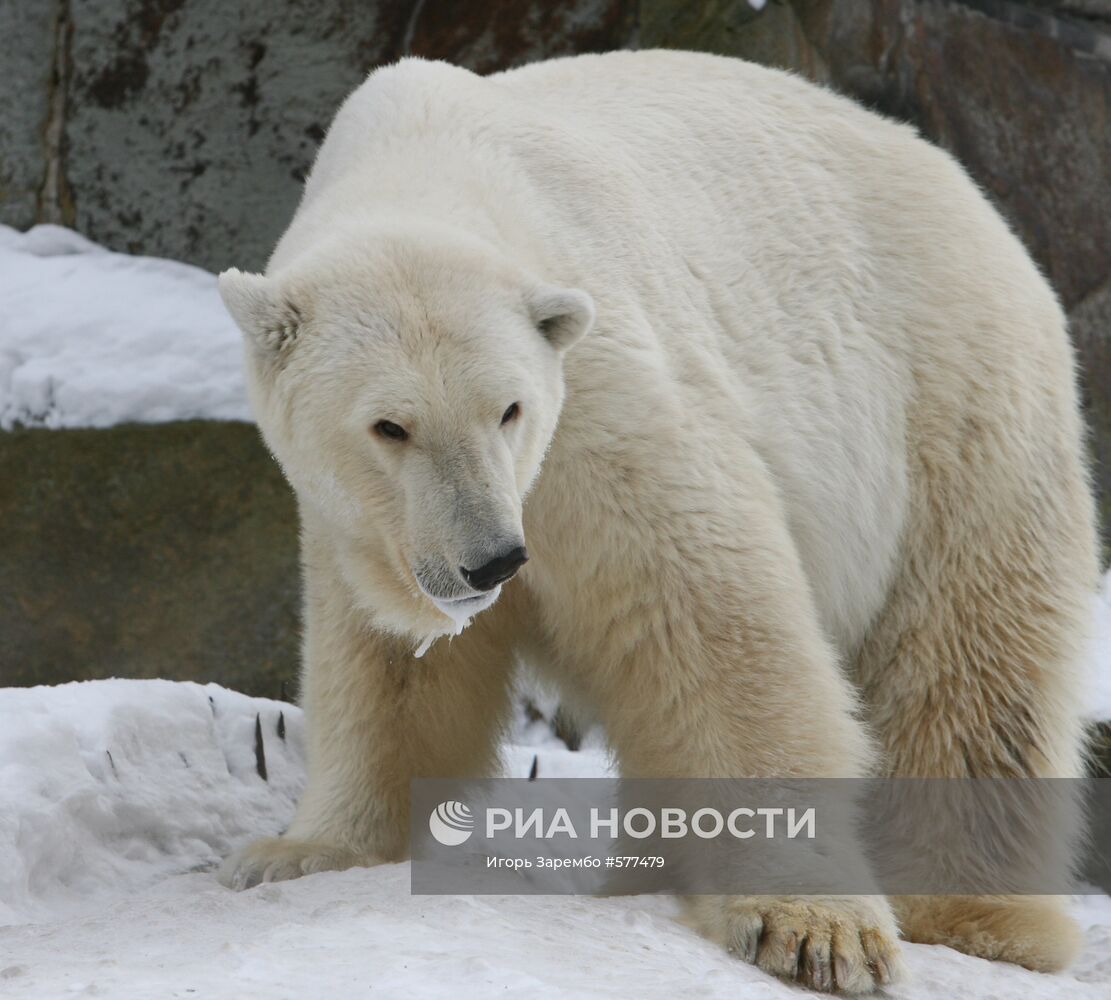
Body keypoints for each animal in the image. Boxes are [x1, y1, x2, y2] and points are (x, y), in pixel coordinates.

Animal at [214, 48, 1093, 991]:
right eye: (389, 426)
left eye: (509, 410)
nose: (492, 561)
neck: (429, 157)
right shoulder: (369, 523)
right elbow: (392, 668)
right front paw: (303, 852)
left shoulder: (600, 398)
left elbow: (708, 617)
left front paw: (813, 930)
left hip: (951, 413)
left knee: (970, 669)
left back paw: (975, 917)